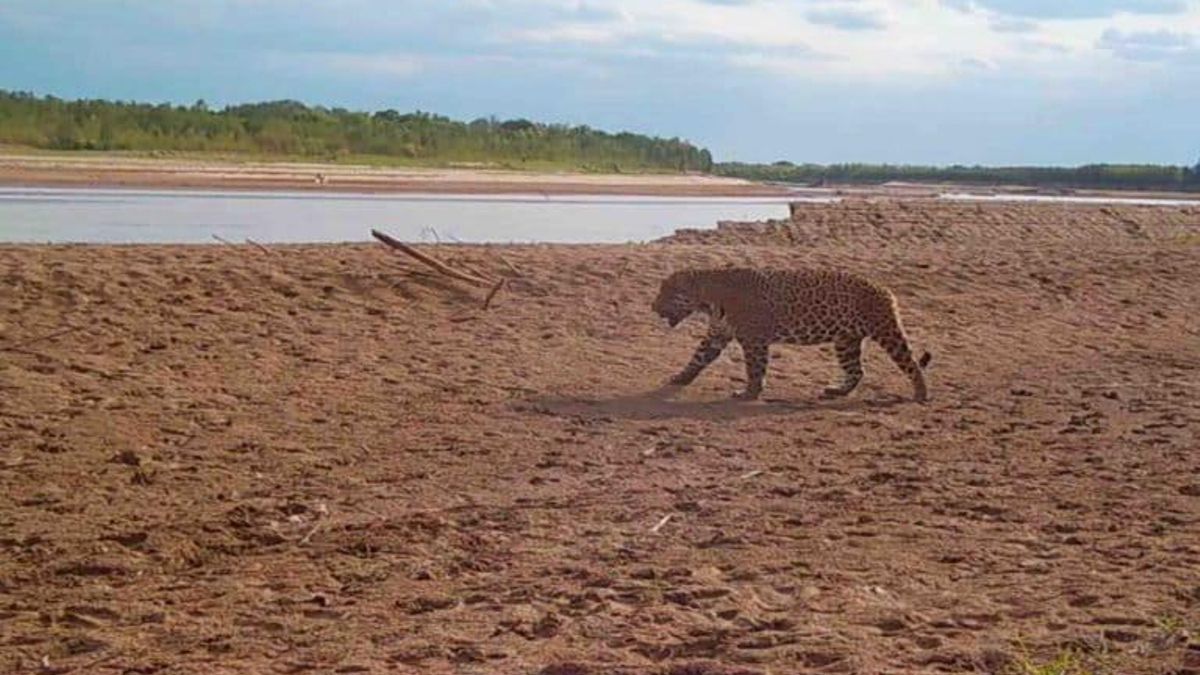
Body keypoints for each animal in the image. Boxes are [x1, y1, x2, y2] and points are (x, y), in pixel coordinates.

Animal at [651, 267, 932, 402]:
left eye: (667, 292)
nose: (653, 307)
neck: (707, 297)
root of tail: (885, 289)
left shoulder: (754, 339)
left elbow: (754, 368)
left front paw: (749, 393)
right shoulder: (717, 334)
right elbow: (697, 358)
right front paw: (680, 378)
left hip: (886, 331)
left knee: (911, 363)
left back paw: (921, 394)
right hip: (846, 340)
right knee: (856, 370)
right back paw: (837, 391)